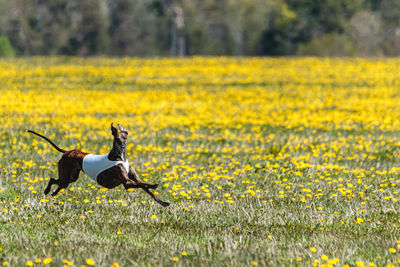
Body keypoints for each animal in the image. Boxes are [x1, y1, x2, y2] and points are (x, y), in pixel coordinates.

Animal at [26, 123, 170, 207]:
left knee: (59, 184)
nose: (122, 146)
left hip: (70, 178)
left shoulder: (134, 179)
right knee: (52, 180)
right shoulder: (127, 183)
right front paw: (154, 185)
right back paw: (47, 191)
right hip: (66, 175)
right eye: (117, 139)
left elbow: (147, 189)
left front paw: (163, 202)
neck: (120, 157)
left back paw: (52, 194)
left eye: (125, 138)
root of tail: (67, 151)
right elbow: (143, 185)